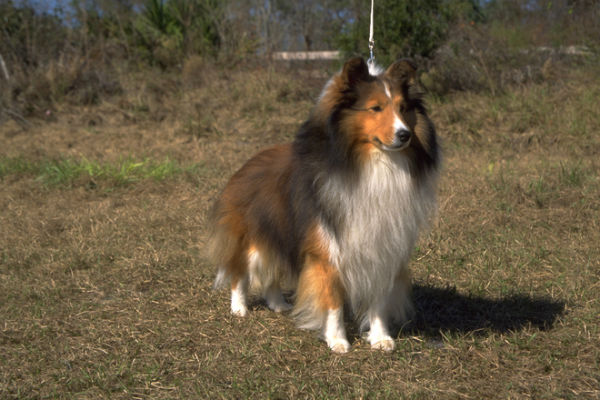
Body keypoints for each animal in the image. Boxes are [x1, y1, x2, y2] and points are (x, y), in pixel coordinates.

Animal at [211, 57, 440, 354]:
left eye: (403, 108)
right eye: (376, 108)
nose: (405, 135)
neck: (372, 166)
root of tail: (247, 164)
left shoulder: (383, 249)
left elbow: (378, 301)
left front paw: (380, 338)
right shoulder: (328, 250)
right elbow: (332, 300)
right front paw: (338, 340)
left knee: (271, 273)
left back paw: (278, 304)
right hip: (256, 239)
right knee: (241, 270)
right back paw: (239, 308)